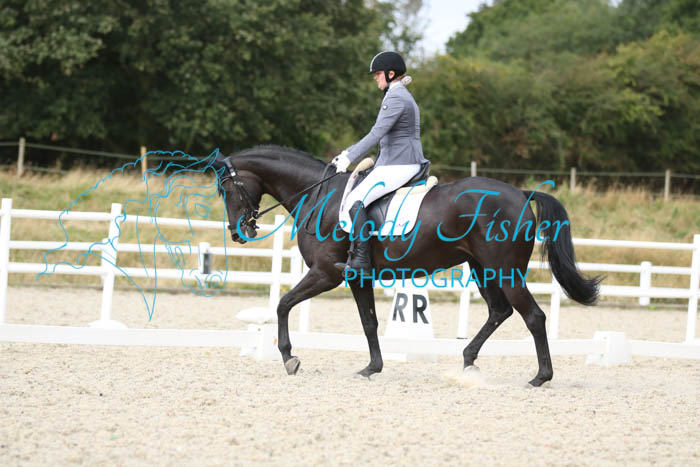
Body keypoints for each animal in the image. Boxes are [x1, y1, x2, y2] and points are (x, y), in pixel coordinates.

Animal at [212, 145, 600, 387]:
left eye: (227, 189)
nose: (238, 232)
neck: (318, 196)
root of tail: (521, 193)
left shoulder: (326, 273)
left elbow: (282, 304)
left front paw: (288, 357)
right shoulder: (357, 277)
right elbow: (368, 322)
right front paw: (372, 368)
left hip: (505, 271)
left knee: (533, 316)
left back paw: (540, 377)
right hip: (481, 268)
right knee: (499, 311)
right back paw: (467, 363)